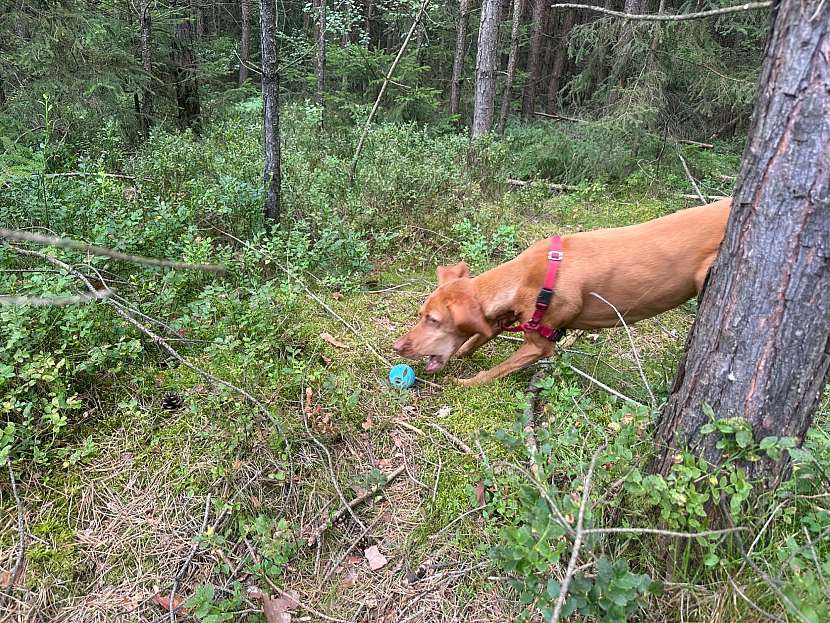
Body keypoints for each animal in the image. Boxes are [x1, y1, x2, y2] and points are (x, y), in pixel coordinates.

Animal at [394, 199, 732, 386]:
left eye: (434, 320)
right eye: (421, 315)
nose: (397, 347)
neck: (523, 276)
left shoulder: (539, 345)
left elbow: (493, 372)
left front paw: (465, 383)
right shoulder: (506, 318)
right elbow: (475, 339)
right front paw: (463, 354)